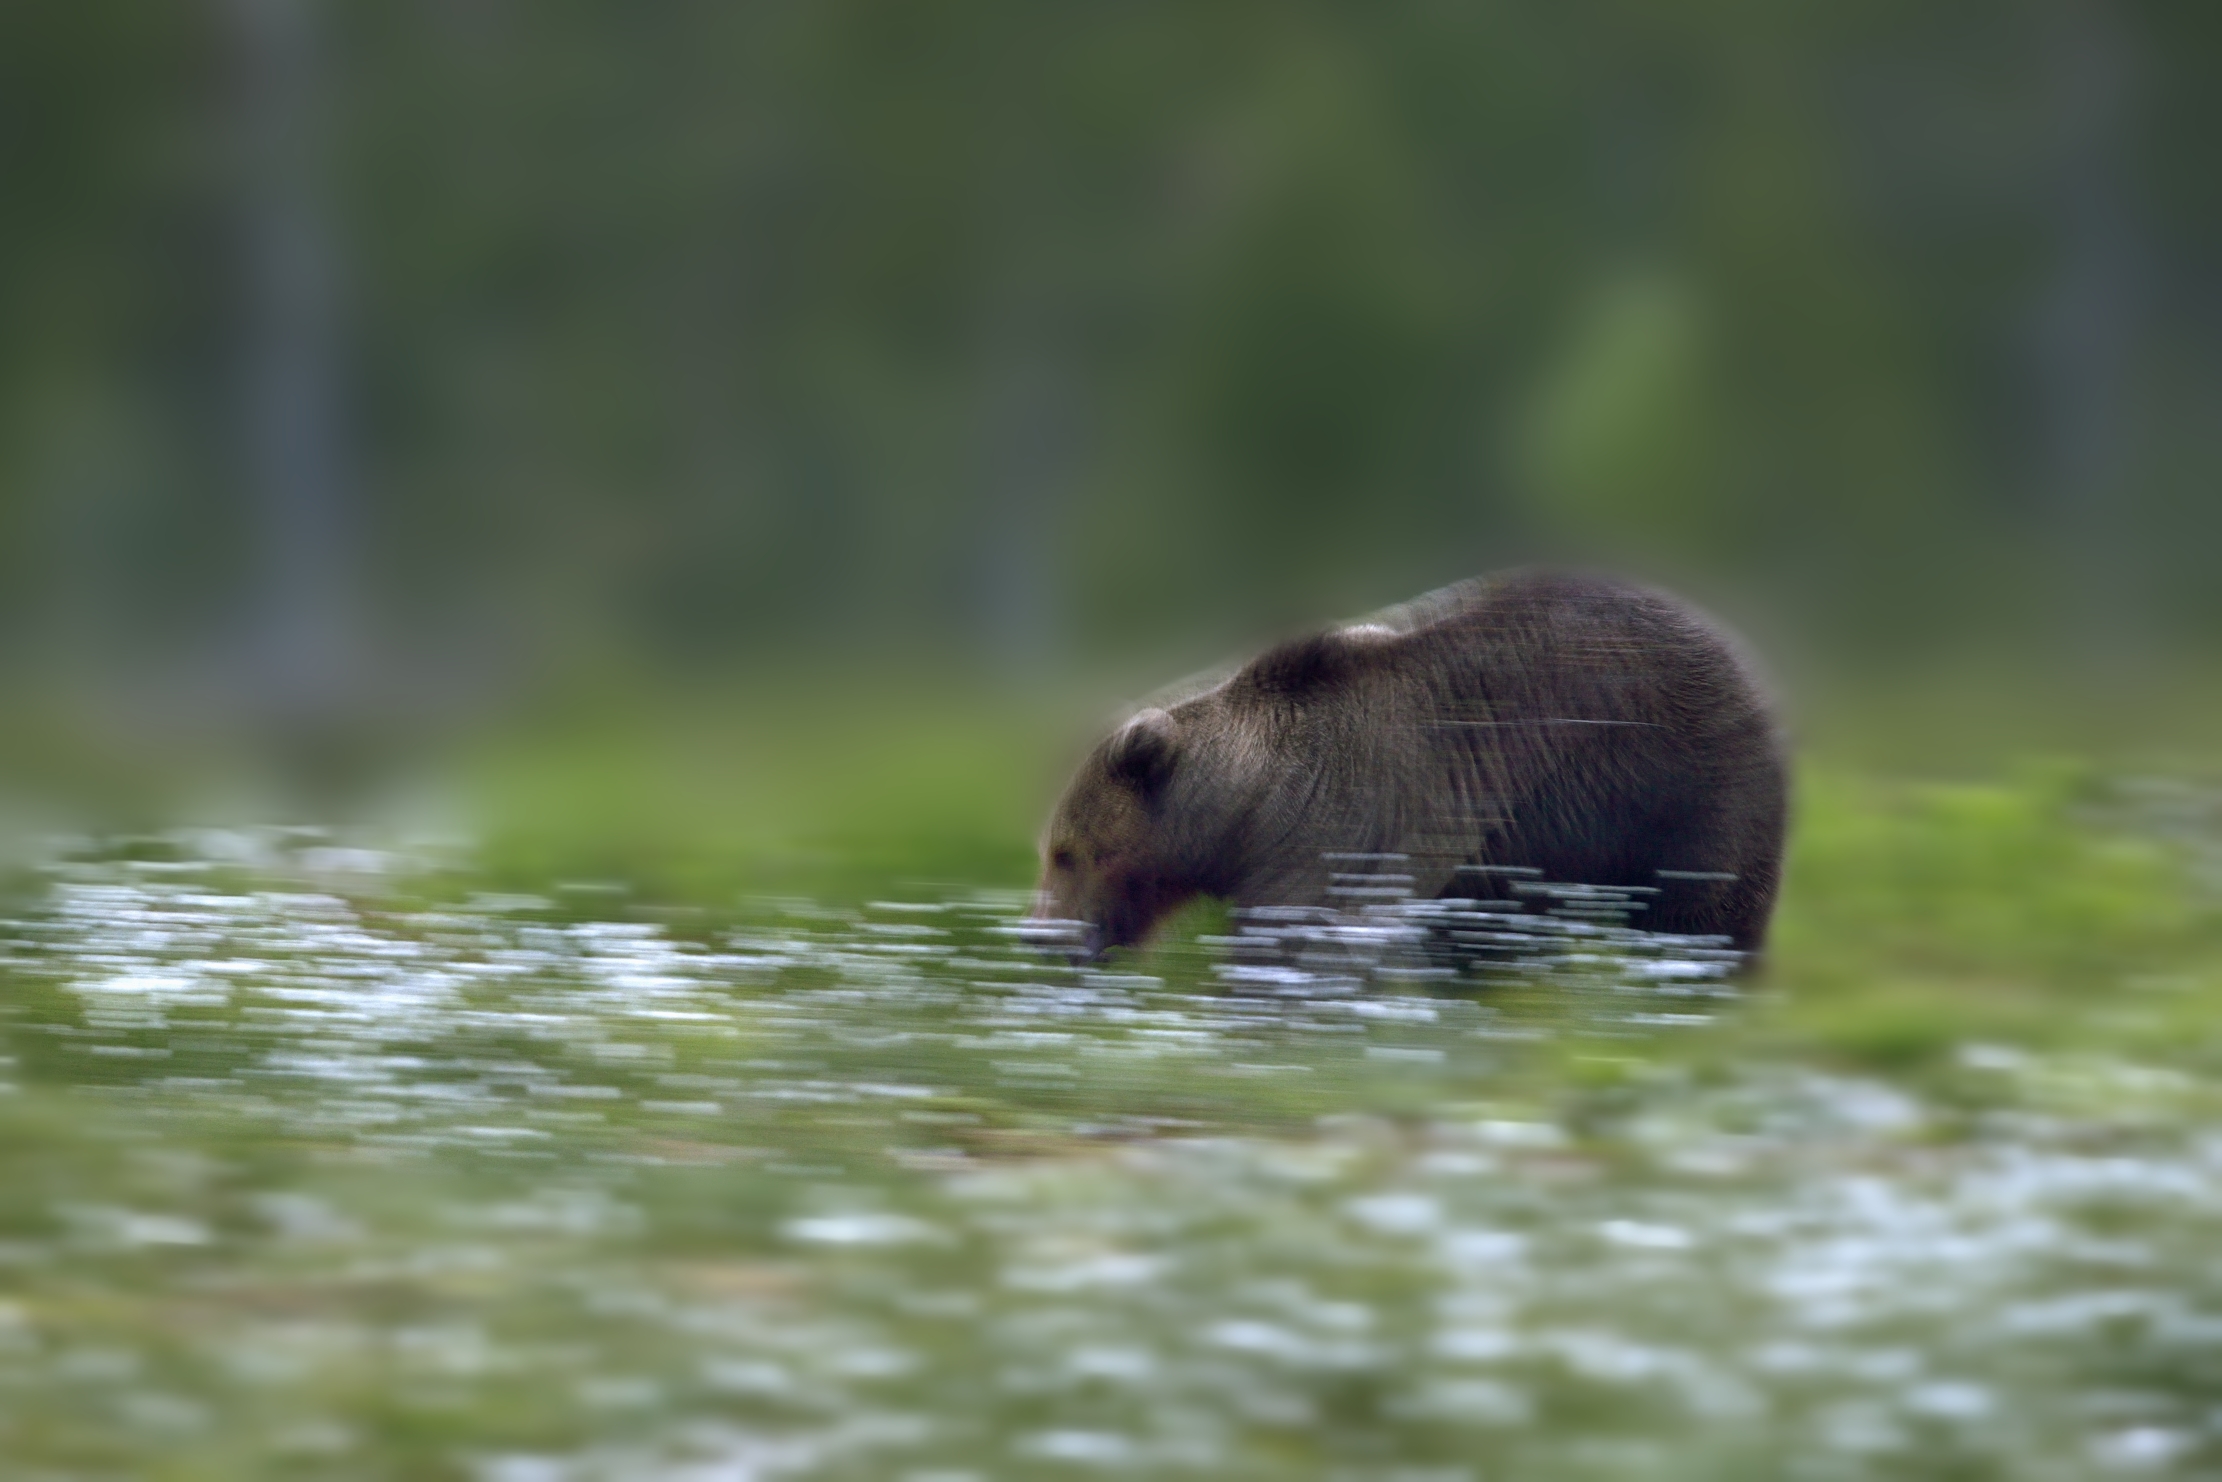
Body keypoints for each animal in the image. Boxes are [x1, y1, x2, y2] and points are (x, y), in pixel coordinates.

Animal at [1032, 568, 1788, 963]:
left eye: (1069, 852)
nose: (1042, 937)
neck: (1249, 811)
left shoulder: (1350, 818)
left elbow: (1301, 943)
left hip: (1683, 787)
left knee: (1701, 916)